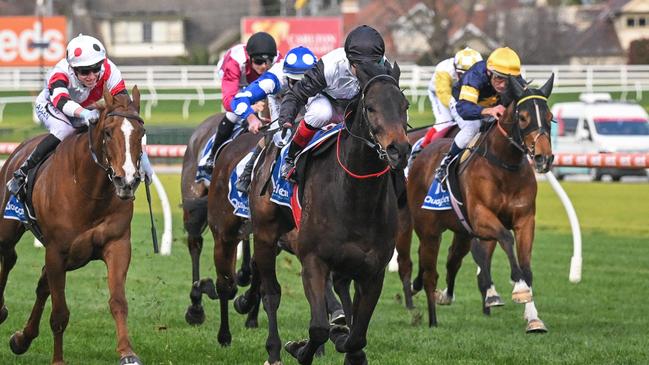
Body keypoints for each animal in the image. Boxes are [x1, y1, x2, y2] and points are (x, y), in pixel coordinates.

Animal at [0, 86, 146, 362]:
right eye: (108, 131)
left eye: (141, 133)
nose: (127, 181)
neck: (91, 190)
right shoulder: (57, 251)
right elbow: (59, 313)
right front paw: (58, 360)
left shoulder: (117, 244)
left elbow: (118, 301)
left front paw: (127, 353)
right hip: (8, 228)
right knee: (9, 256)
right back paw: (2, 310)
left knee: (41, 283)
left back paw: (22, 339)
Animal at [246, 62, 408, 364]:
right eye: (371, 107)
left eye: (404, 104)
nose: (399, 150)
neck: (356, 197)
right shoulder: (313, 259)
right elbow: (318, 328)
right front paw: (299, 348)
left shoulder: (373, 271)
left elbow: (357, 335)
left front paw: (348, 344)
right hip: (264, 236)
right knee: (270, 293)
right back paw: (273, 350)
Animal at [402, 74, 556, 332]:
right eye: (523, 117)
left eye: (550, 117)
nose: (543, 158)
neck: (504, 165)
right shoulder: (480, 217)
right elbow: (505, 238)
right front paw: (517, 288)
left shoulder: (525, 220)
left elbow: (526, 267)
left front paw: (534, 318)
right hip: (428, 230)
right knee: (429, 271)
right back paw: (431, 318)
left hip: (461, 231)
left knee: (453, 259)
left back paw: (444, 296)